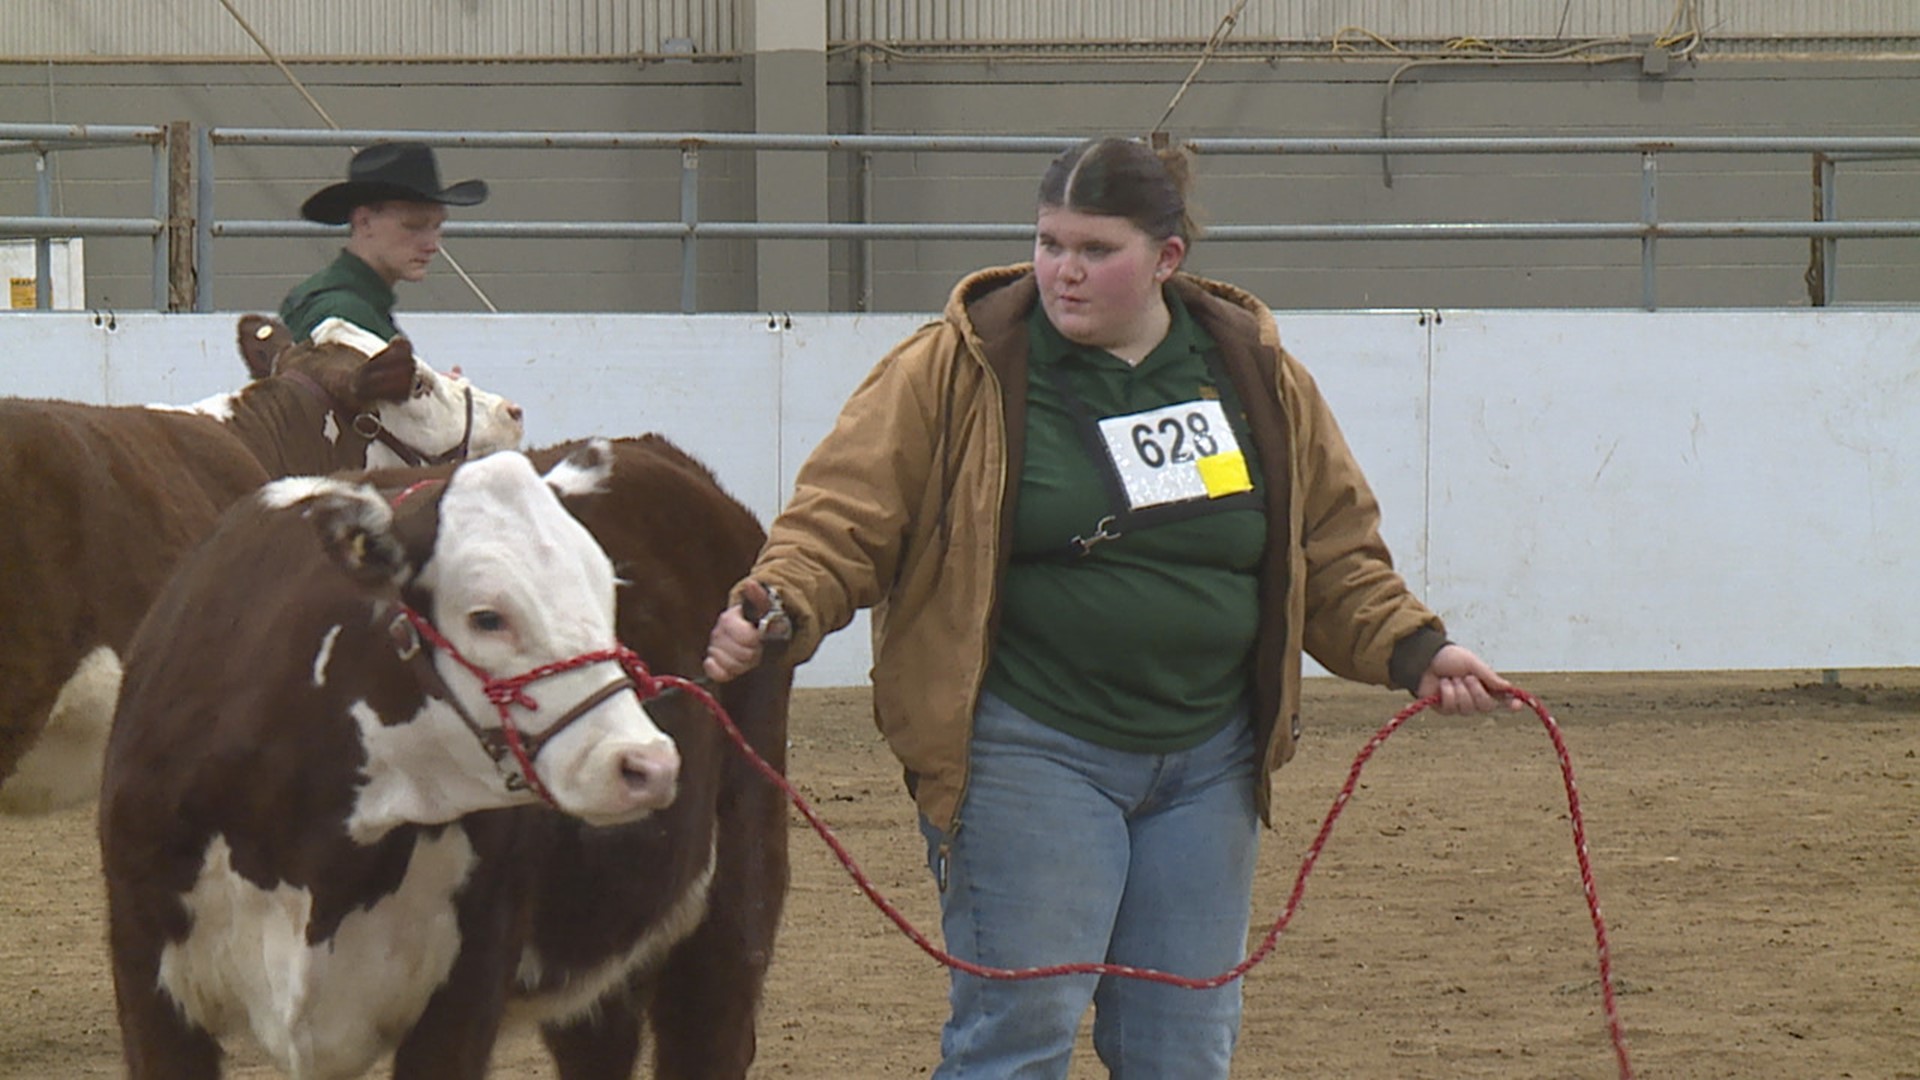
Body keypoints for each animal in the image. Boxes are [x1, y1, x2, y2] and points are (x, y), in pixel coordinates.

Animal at [101, 434, 791, 1076]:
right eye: (487, 616)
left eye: (609, 591)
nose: (646, 763)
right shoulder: (148, 985)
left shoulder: (467, 989)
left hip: (737, 897)